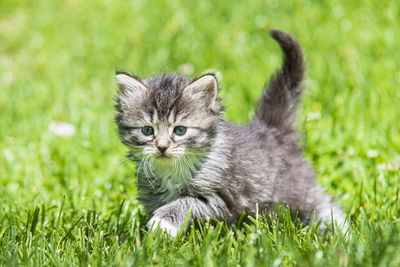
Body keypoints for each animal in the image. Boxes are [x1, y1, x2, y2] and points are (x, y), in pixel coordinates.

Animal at [115, 29, 344, 239]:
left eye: (180, 130)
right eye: (148, 130)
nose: (162, 147)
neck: (174, 170)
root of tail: (271, 128)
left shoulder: (223, 197)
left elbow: (187, 202)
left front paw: (163, 222)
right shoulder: (153, 194)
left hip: (297, 192)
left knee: (323, 205)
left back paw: (342, 233)